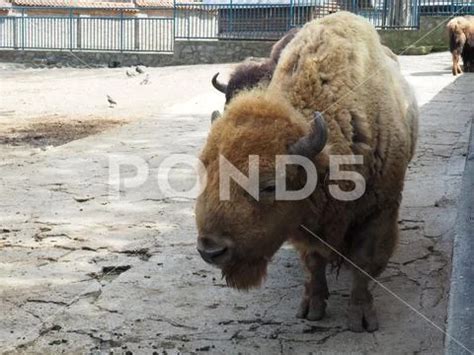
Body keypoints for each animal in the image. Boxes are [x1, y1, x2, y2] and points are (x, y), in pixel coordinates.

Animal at [196, 11, 418, 334]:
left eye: (269, 185)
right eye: (207, 173)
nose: (211, 250)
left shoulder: (379, 212)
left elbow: (364, 263)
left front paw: (361, 318)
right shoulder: (303, 225)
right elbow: (314, 262)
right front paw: (312, 308)